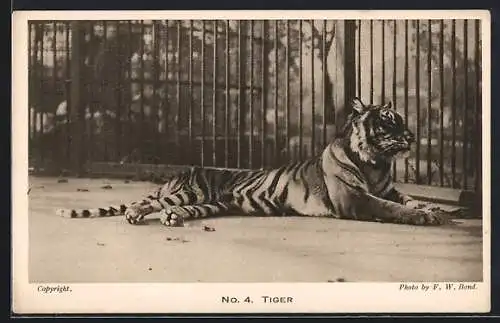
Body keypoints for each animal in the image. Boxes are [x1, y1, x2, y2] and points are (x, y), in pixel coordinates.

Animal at [57, 98, 446, 228]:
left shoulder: (388, 188)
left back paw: (172, 220)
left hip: (209, 204)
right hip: (188, 192)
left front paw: (433, 209)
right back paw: (136, 214)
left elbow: (408, 199)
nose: (412, 135)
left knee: (173, 209)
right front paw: (424, 217)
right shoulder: (355, 199)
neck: (376, 162)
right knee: (148, 202)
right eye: (390, 120)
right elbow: (389, 208)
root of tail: (180, 172)